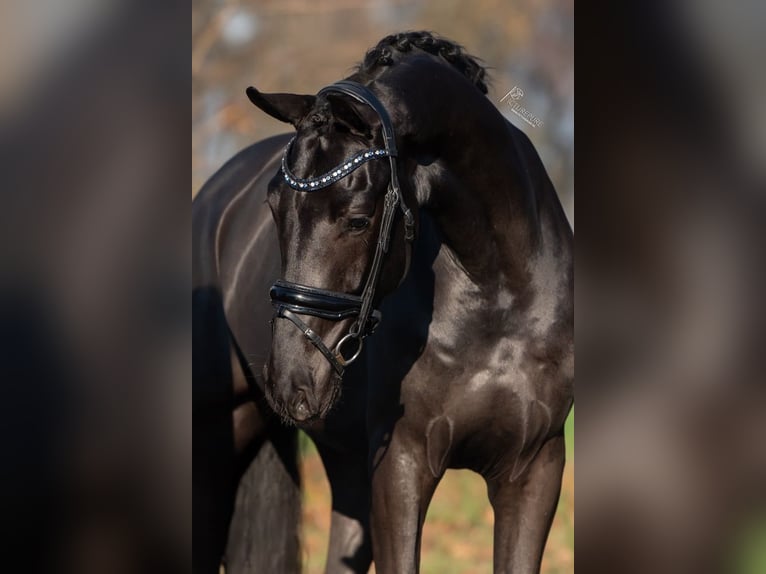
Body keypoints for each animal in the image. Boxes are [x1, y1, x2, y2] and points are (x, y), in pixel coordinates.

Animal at [193, 31, 573, 574]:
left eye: (356, 218)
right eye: (274, 206)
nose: (289, 380)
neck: (498, 294)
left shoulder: (534, 469)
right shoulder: (401, 467)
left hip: (349, 467)